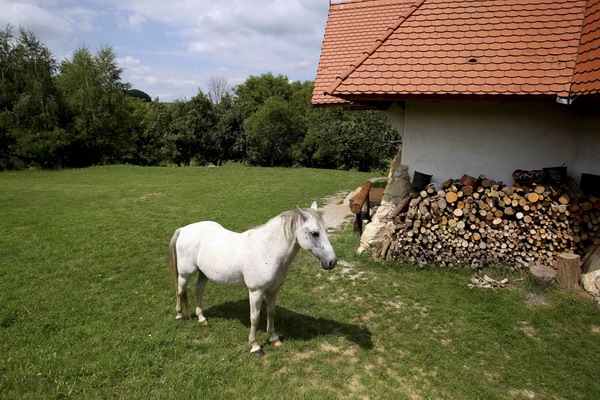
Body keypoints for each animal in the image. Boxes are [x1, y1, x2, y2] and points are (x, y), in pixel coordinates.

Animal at [169, 203, 338, 356]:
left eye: (326, 230)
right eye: (314, 233)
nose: (331, 262)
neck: (267, 250)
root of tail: (183, 229)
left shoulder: (273, 290)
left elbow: (271, 312)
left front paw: (274, 338)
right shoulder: (256, 291)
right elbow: (255, 318)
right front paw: (255, 346)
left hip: (203, 274)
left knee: (199, 290)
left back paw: (201, 318)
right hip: (185, 274)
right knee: (180, 290)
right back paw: (179, 316)